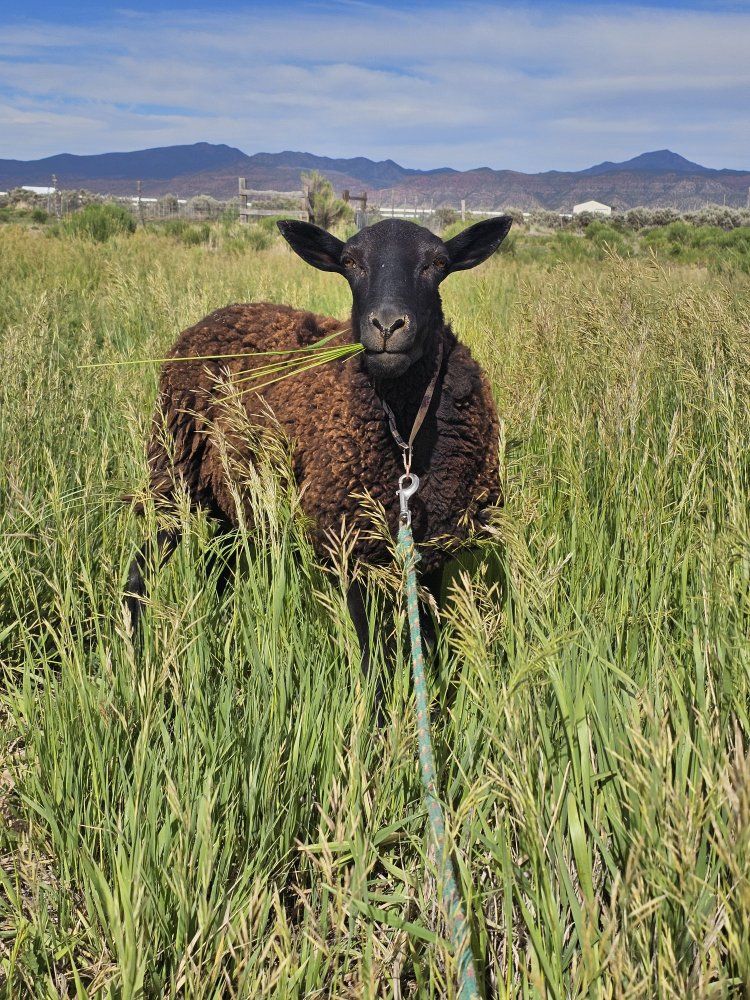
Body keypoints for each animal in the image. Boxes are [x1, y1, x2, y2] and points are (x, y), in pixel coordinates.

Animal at [126, 216, 512, 674]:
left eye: (438, 263)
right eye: (349, 262)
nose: (387, 326)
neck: (405, 435)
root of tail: (216, 315)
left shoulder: (433, 545)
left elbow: (430, 645)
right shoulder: (348, 541)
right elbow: (372, 657)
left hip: (232, 494)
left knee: (217, 566)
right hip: (174, 473)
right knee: (140, 569)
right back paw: (132, 654)